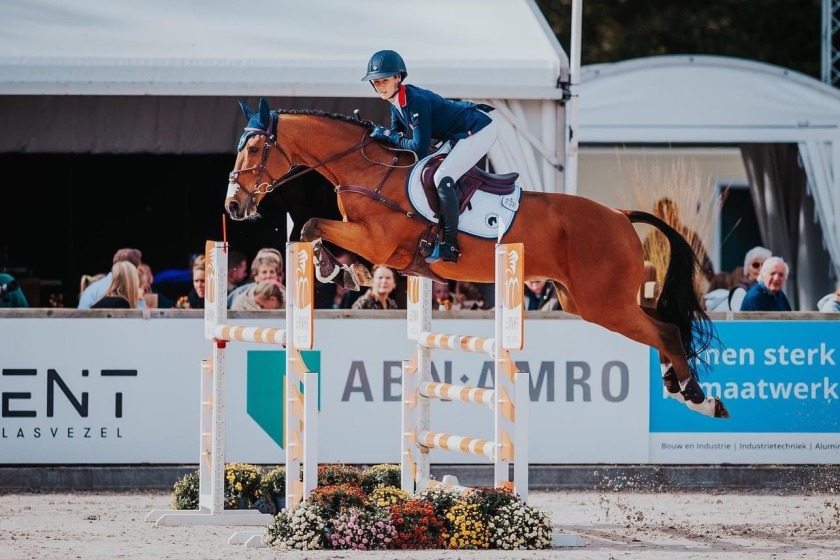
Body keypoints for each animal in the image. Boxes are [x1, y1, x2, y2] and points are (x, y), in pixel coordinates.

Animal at [223, 97, 728, 420]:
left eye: (254, 148)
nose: (233, 206)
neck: (368, 170)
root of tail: (621, 216)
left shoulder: (380, 240)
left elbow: (310, 225)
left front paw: (339, 269)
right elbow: (314, 231)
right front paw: (344, 271)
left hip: (605, 303)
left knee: (666, 330)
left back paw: (699, 398)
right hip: (585, 302)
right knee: (664, 328)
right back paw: (680, 388)